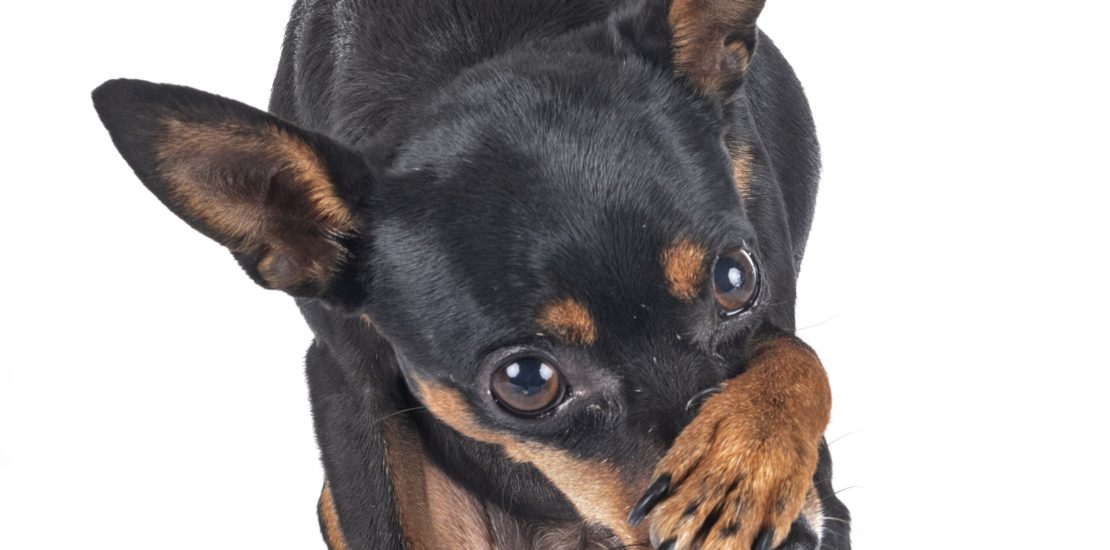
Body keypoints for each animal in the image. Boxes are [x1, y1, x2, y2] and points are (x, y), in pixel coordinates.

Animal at [93, 0, 848, 548]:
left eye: (735, 280)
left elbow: (795, 358)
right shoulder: (346, 379)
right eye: (526, 382)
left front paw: (740, 466)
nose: (797, 542)